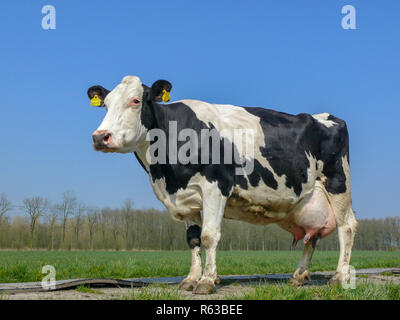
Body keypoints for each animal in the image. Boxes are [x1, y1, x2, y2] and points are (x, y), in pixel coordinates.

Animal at [88, 75, 360, 296]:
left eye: (135, 101)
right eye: (105, 104)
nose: (100, 136)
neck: (166, 174)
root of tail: (324, 117)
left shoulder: (215, 186)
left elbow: (209, 236)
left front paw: (207, 282)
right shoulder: (188, 198)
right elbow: (193, 240)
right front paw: (191, 279)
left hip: (338, 184)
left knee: (347, 227)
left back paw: (339, 277)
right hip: (309, 202)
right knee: (312, 236)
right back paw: (298, 276)